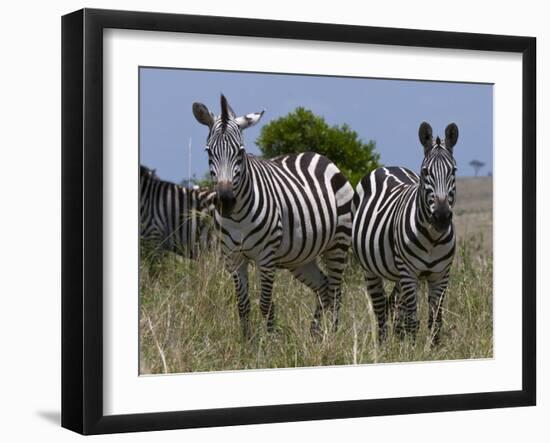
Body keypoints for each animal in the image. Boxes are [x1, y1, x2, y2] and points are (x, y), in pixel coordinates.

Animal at [192, 95, 356, 338]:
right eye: (208, 152)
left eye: (240, 152)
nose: (226, 201)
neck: (238, 217)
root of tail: (320, 157)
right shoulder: (233, 257)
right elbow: (243, 305)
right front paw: (247, 343)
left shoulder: (266, 257)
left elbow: (266, 305)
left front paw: (270, 342)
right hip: (301, 257)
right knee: (324, 288)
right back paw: (315, 337)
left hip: (338, 244)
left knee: (336, 294)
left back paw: (332, 338)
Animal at [354, 123, 462, 346]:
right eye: (425, 171)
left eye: (453, 171)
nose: (441, 217)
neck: (432, 238)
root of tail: (388, 166)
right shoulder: (409, 272)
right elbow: (412, 320)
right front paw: (411, 350)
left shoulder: (441, 274)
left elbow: (435, 321)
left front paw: (433, 349)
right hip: (371, 269)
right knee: (380, 308)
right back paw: (383, 345)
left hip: (398, 274)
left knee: (395, 307)